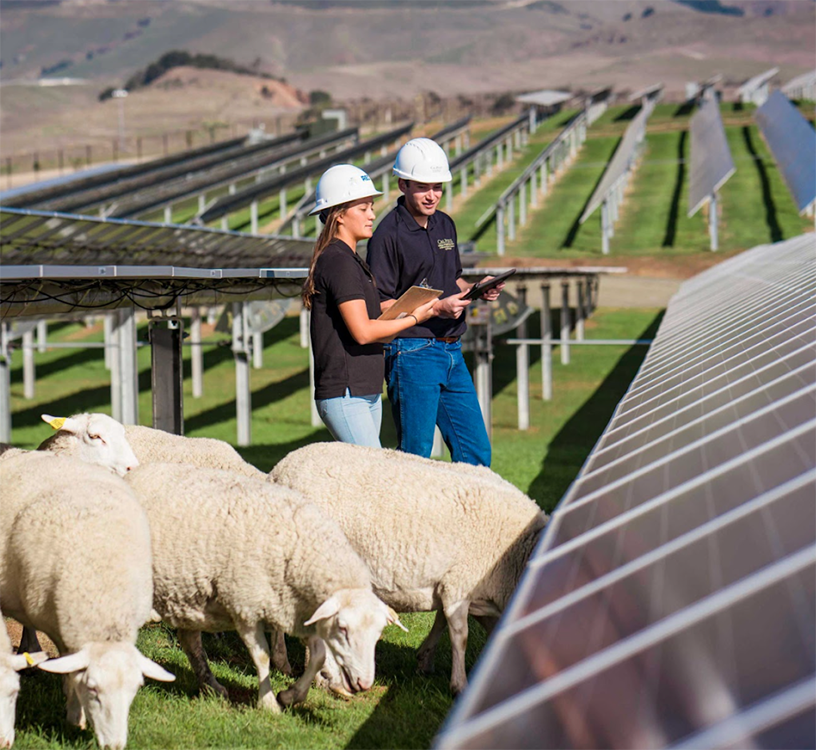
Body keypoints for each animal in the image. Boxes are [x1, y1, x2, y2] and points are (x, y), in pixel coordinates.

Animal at [122, 462, 404, 712]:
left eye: (379, 633)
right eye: (343, 629)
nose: (364, 684)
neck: (300, 548)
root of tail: (135, 473)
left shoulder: (302, 612)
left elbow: (318, 656)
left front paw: (291, 696)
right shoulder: (245, 608)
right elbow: (263, 658)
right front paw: (268, 703)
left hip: (187, 595)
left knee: (190, 641)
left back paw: (212, 686)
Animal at [270, 444, 548, 696]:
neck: (514, 558)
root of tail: (279, 469)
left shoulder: (461, 590)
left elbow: (444, 622)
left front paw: (426, 659)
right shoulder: (459, 585)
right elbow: (460, 636)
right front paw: (459, 685)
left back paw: (284, 663)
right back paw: (316, 675)